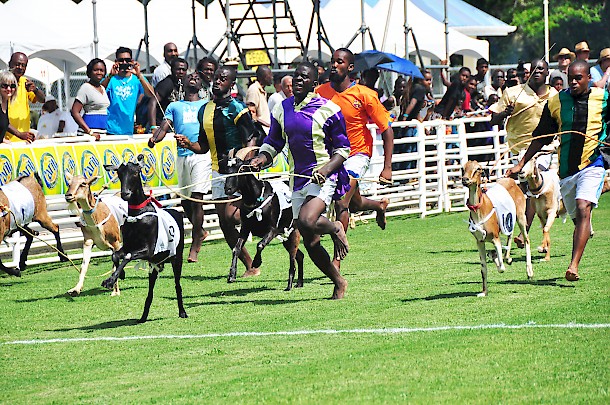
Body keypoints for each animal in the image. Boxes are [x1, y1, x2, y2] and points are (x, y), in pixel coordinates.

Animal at [102, 155, 185, 322]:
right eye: (119, 173)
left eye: (135, 172)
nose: (125, 193)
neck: (137, 215)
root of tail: (177, 212)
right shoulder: (130, 246)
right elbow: (116, 254)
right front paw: (120, 275)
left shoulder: (148, 250)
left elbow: (127, 256)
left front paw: (110, 280)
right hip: (154, 266)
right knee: (150, 291)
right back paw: (143, 316)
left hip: (176, 259)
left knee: (177, 285)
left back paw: (182, 312)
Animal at [220, 149, 302, 290]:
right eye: (227, 169)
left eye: (241, 169)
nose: (228, 189)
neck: (257, 199)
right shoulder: (245, 228)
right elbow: (236, 248)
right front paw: (232, 275)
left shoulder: (273, 229)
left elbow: (260, 244)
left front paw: (257, 262)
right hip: (286, 237)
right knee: (300, 255)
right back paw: (299, 282)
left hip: (293, 232)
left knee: (293, 256)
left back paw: (289, 285)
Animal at [458, 159, 528, 296]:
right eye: (463, 168)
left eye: (478, 169)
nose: (465, 179)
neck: (480, 209)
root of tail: (510, 180)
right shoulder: (479, 241)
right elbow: (483, 268)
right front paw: (484, 292)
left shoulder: (495, 237)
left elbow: (501, 268)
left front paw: (497, 257)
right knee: (510, 234)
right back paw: (506, 257)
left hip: (521, 217)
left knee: (526, 240)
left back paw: (529, 272)